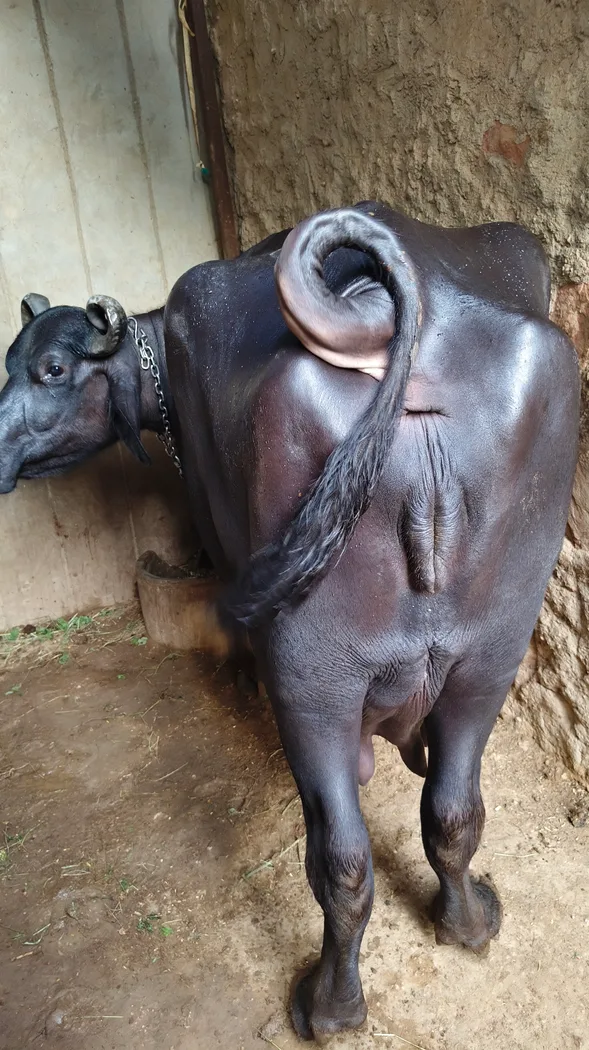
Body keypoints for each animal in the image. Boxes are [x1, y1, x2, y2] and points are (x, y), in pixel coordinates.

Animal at [0, 203, 579, 1040]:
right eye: (12, 360)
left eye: (50, 369)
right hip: (490, 653)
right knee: (452, 810)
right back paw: (469, 921)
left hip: (316, 680)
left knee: (340, 858)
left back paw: (329, 1005)